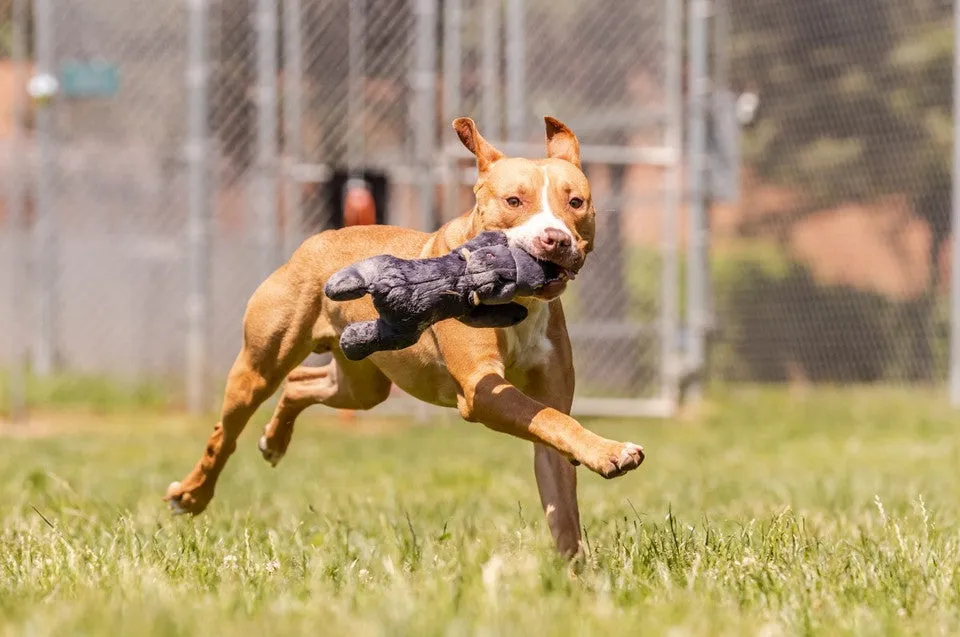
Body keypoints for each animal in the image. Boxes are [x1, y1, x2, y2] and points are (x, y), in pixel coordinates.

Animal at [165, 117, 644, 556]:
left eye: (576, 202)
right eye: (514, 200)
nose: (555, 239)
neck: (521, 303)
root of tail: (317, 241)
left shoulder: (549, 403)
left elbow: (561, 481)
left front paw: (576, 577)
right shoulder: (481, 390)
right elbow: (547, 419)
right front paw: (612, 453)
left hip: (362, 384)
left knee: (302, 383)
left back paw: (274, 440)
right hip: (258, 365)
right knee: (226, 432)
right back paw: (192, 494)